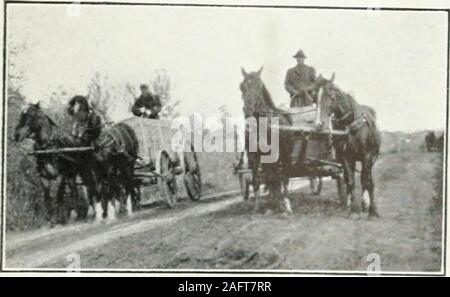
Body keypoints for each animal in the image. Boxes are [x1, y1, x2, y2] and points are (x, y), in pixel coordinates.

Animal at [239, 66, 296, 213]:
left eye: (259, 86)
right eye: (241, 86)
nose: (248, 110)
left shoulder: (277, 155)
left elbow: (278, 177)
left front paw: (282, 205)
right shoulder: (254, 156)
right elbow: (256, 180)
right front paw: (257, 207)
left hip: (285, 155)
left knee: (283, 176)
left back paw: (284, 202)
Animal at [314, 74, 382, 217]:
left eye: (331, 96)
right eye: (316, 97)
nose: (318, 124)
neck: (350, 126)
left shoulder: (367, 156)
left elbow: (367, 181)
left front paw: (373, 209)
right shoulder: (346, 158)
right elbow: (351, 181)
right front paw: (354, 210)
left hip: (370, 158)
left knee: (365, 179)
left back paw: (365, 203)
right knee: (348, 178)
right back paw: (350, 203)